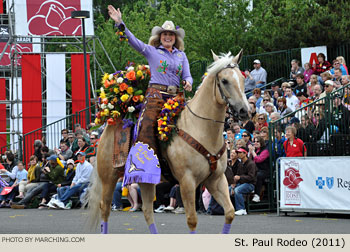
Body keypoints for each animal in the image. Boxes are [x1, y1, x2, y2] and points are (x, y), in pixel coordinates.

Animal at [86, 49, 250, 234]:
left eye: (242, 78)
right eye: (224, 80)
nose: (244, 111)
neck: (200, 129)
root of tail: (111, 123)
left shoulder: (216, 179)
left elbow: (229, 213)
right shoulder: (187, 181)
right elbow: (192, 220)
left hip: (146, 180)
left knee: (147, 210)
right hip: (109, 178)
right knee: (105, 208)